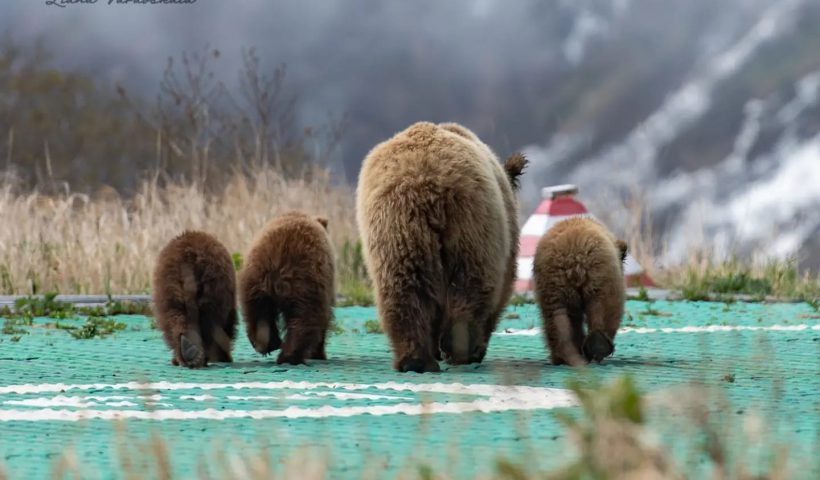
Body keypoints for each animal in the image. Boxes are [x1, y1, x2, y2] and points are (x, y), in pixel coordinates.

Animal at [153, 231, 237, 370]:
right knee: (210, 321)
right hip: (212, 287)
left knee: (173, 318)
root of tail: (188, 257)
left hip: (169, 286)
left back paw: (186, 351)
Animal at [239, 212, 334, 366]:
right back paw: (290, 355)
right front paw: (318, 353)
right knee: (307, 317)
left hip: (254, 279)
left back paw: (266, 343)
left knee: (257, 312)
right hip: (306, 280)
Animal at [358, 119, 524, 372]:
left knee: (403, 285)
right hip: (470, 220)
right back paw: (460, 348)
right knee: (469, 282)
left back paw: (416, 359)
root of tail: (426, 179)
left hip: (395, 223)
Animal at [532, 216, 628, 366]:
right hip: (600, 276)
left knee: (558, 318)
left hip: (554, 285)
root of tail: (575, 258)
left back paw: (565, 354)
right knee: (605, 308)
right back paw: (598, 347)